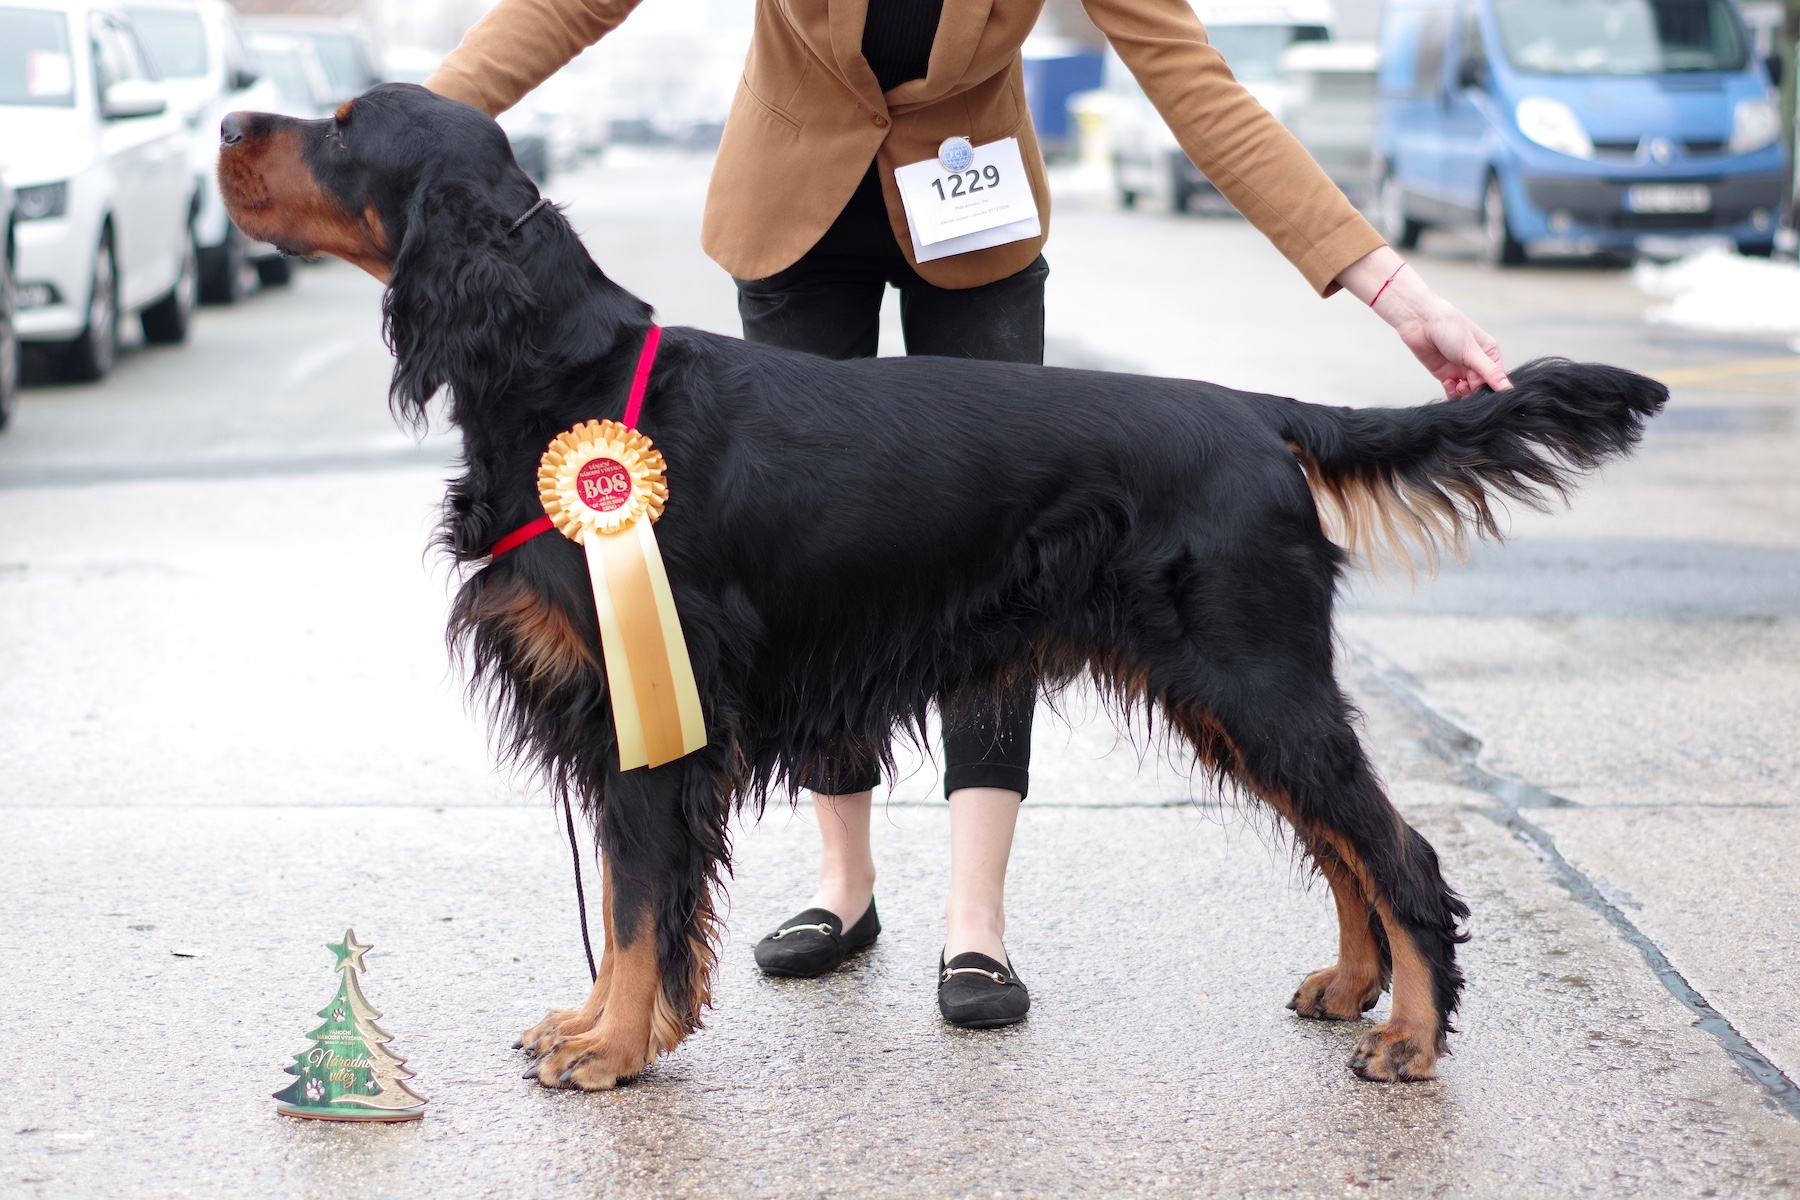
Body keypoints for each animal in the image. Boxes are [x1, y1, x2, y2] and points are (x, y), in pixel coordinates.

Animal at [217, 82, 1663, 1086]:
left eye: (341, 127)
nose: (228, 116)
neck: (561, 376)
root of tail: (1258, 414)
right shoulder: (614, 698)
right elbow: (641, 907)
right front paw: (599, 1022)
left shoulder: (656, 713)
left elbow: (637, 902)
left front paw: (614, 1048)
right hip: (1226, 690)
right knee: (1340, 840)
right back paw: (1355, 987)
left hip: (1255, 676)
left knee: (1394, 846)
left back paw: (1412, 1035)